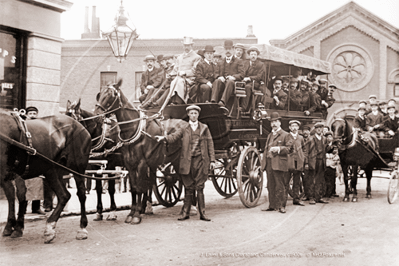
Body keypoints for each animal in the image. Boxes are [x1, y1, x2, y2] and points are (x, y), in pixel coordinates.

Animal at [0, 110, 91, 243]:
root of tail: (80, 126)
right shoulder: (10, 175)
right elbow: (16, 195)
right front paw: (14, 227)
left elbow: (17, 195)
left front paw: (15, 227)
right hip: (53, 170)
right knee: (64, 195)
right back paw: (50, 227)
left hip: (76, 168)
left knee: (80, 194)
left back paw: (81, 228)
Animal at [95, 79, 186, 224]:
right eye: (99, 94)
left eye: (111, 95)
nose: (97, 115)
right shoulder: (129, 164)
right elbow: (134, 188)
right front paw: (131, 213)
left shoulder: (141, 163)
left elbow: (140, 187)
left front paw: (137, 215)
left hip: (178, 160)